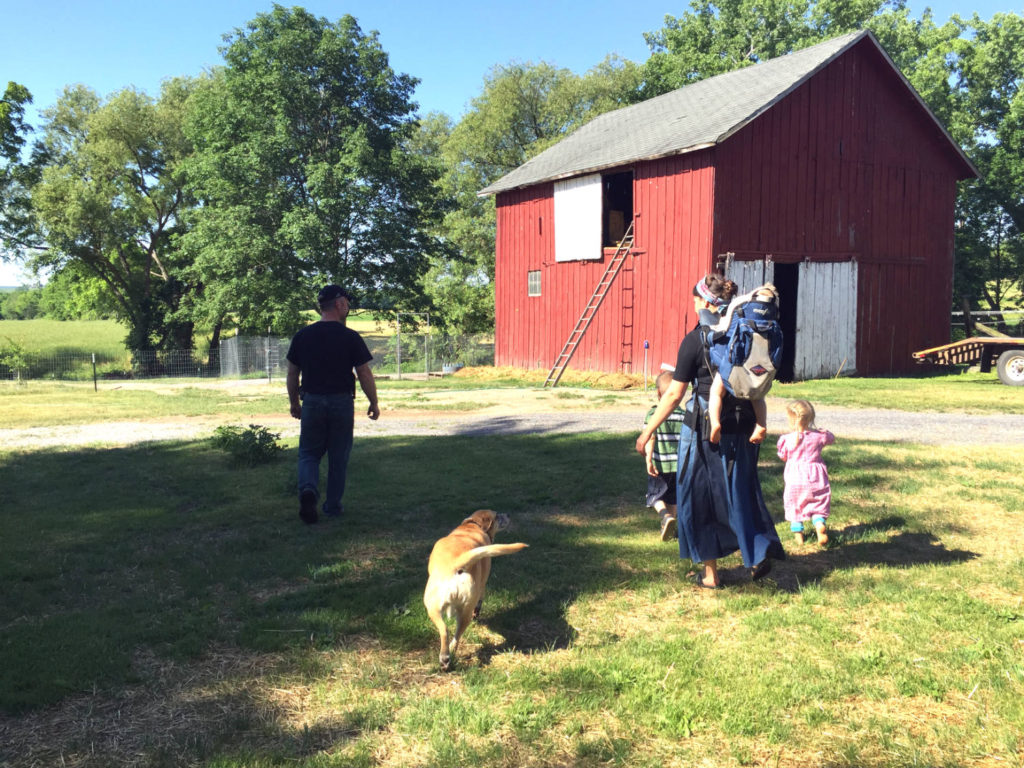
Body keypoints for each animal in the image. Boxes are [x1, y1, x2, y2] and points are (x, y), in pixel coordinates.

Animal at [423, 512, 528, 667]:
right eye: (497, 516)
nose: (508, 514)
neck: (471, 527)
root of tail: (456, 565)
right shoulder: (482, 583)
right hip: (457, 607)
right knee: (455, 634)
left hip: (433, 607)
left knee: (446, 631)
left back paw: (445, 657)